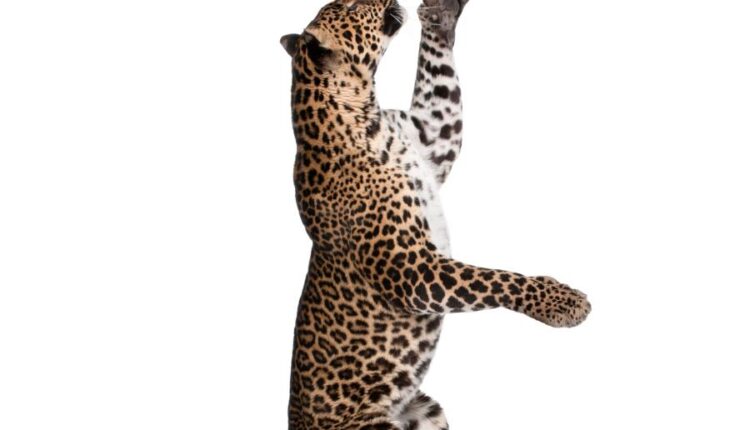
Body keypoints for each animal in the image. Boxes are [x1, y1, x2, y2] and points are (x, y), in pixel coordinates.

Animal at [279, 1, 591, 429]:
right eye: (350, 5)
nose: (382, 0)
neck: (362, 113)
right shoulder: (413, 271)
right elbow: (493, 280)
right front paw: (561, 302)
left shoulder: (432, 134)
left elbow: (439, 83)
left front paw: (441, 15)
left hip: (427, 411)